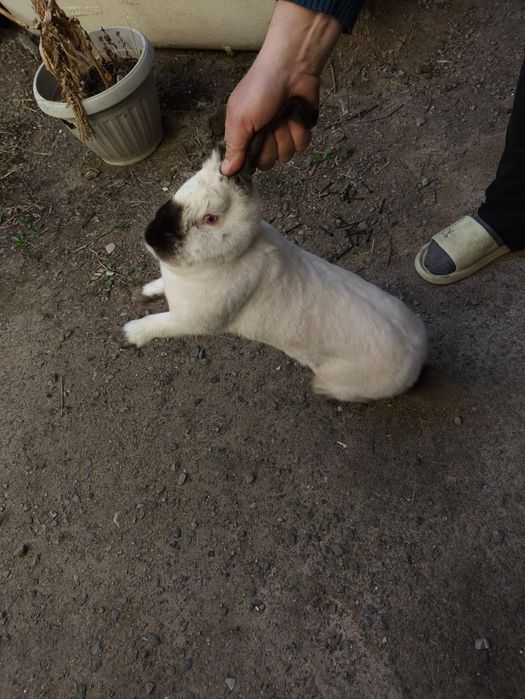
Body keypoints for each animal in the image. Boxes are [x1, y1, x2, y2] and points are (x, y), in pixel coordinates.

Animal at [118, 145, 427, 403]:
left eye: (210, 218)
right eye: (180, 192)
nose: (151, 237)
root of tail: (417, 355)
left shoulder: (192, 320)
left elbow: (160, 324)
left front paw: (128, 335)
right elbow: (157, 288)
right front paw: (139, 296)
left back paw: (319, 389)